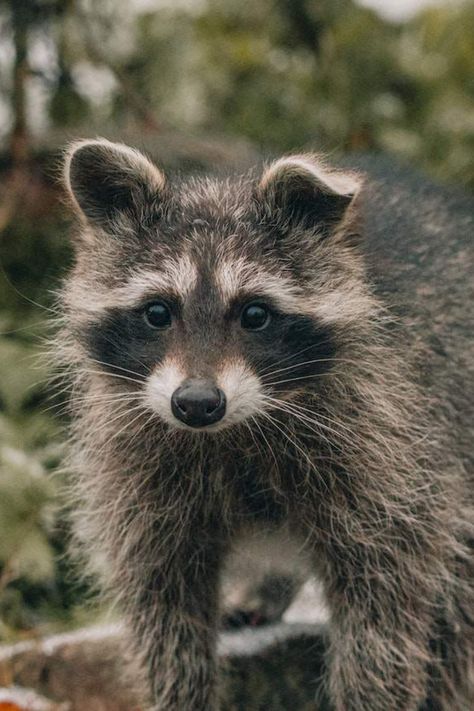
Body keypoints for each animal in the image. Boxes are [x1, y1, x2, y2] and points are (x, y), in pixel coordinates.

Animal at [56, 140, 474, 711]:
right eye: (157, 312)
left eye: (255, 314)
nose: (197, 403)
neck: (232, 431)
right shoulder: (138, 478)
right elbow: (164, 612)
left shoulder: (395, 448)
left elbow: (383, 612)